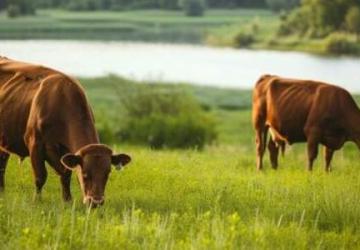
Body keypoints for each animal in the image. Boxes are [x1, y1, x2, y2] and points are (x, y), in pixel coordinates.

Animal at [0, 57, 132, 207]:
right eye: (85, 174)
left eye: (107, 173)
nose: (96, 202)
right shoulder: (34, 143)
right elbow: (40, 176)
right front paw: (37, 201)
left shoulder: (67, 152)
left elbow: (65, 176)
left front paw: (67, 200)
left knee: (2, 163)